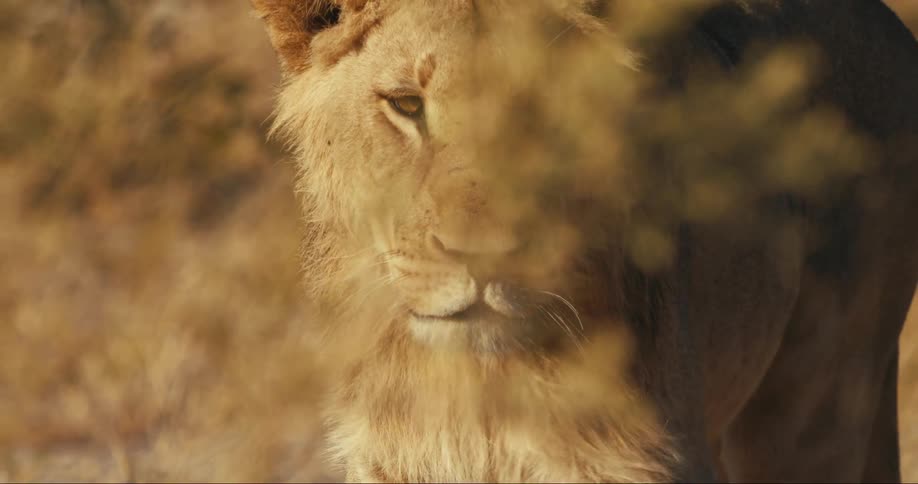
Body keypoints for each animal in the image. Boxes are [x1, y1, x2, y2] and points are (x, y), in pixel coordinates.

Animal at [250, 0, 918, 481]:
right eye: (406, 104)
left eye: (547, 109)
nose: (484, 253)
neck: (477, 393)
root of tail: (887, 20)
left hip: (813, 407)